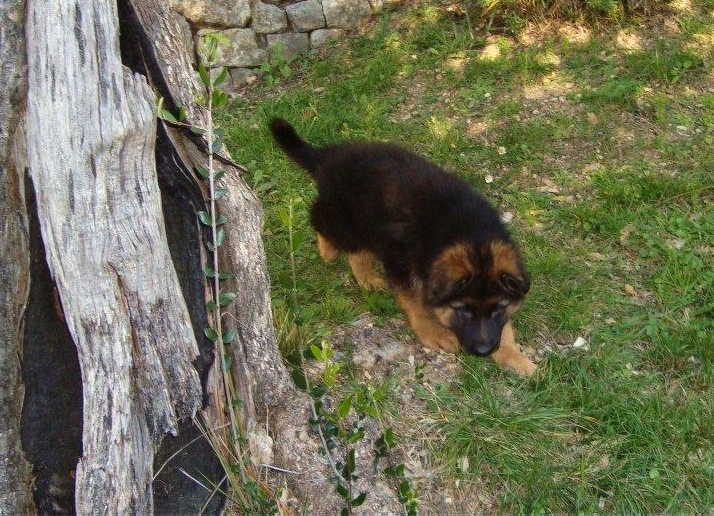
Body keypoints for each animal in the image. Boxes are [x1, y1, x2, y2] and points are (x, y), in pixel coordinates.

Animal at [270, 119, 536, 376]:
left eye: (499, 308)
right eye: (462, 309)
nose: (483, 351)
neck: (467, 234)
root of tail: (327, 156)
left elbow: (505, 327)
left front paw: (513, 355)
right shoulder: (399, 259)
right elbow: (413, 299)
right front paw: (431, 331)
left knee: (356, 250)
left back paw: (366, 277)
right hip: (344, 215)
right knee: (320, 219)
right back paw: (329, 251)